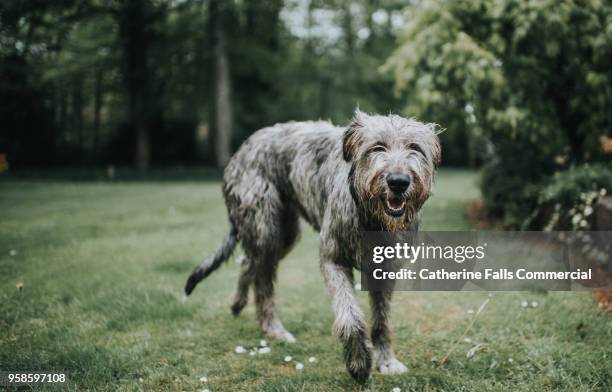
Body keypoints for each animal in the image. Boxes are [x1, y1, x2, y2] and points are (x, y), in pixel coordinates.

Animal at [183, 109, 440, 382]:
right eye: (377, 147)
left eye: (415, 148)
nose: (398, 182)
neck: (371, 217)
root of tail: (243, 148)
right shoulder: (332, 259)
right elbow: (349, 314)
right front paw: (359, 361)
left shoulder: (386, 268)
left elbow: (382, 320)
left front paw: (386, 360)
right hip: (267, 228)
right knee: (262, 280)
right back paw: (273, 328)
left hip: (285, 234)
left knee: (248, 261)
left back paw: (238, 302)